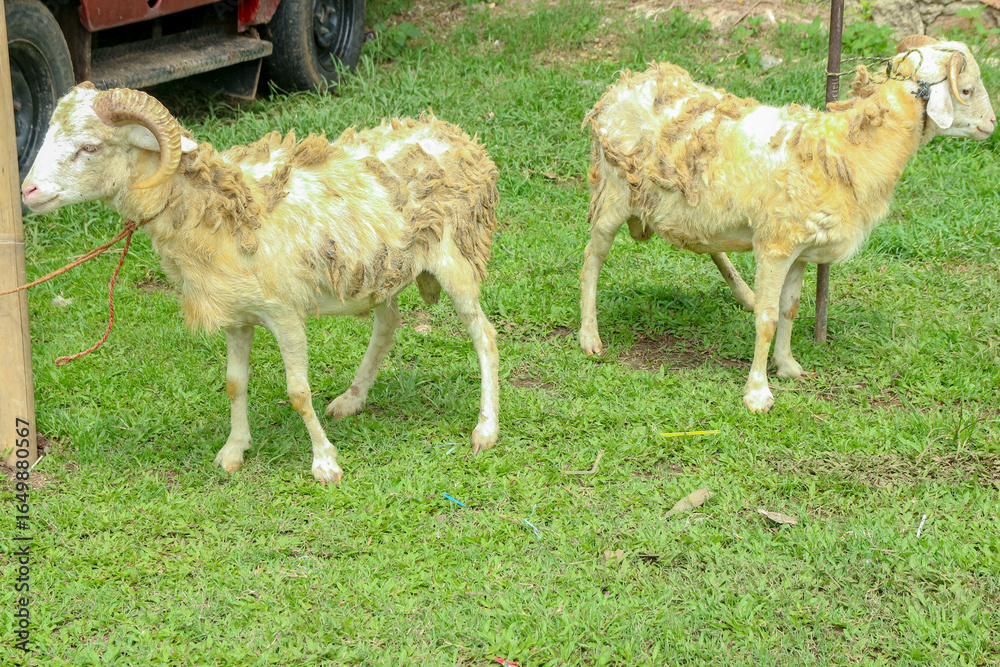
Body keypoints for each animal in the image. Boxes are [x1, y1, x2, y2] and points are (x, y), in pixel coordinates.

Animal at [21, 83, 501, 482]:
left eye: (90, 146)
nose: (27, 191)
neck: (219, 212)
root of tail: (458, 137)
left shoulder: (284, 313)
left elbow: (298, 391)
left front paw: (325, 462)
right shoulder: (238, 316)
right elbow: (235, 382)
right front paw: (234, 450)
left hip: (456, 259)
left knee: (484, 335)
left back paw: (486, 428)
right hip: (383, 267)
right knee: (387, 325)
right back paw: (352, 399)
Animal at [579, 35, 995, 413]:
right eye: (967, 89)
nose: (992, 123)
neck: (848, 148)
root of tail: (624, 83)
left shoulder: (800, 251)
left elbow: (789, 310)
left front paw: (788, 366)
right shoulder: (776, 246)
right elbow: (766, 319)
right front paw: (757, 393)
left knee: (707, 244)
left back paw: (742, 291)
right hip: (613, 194)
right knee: (592, 259)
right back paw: (589, 337)